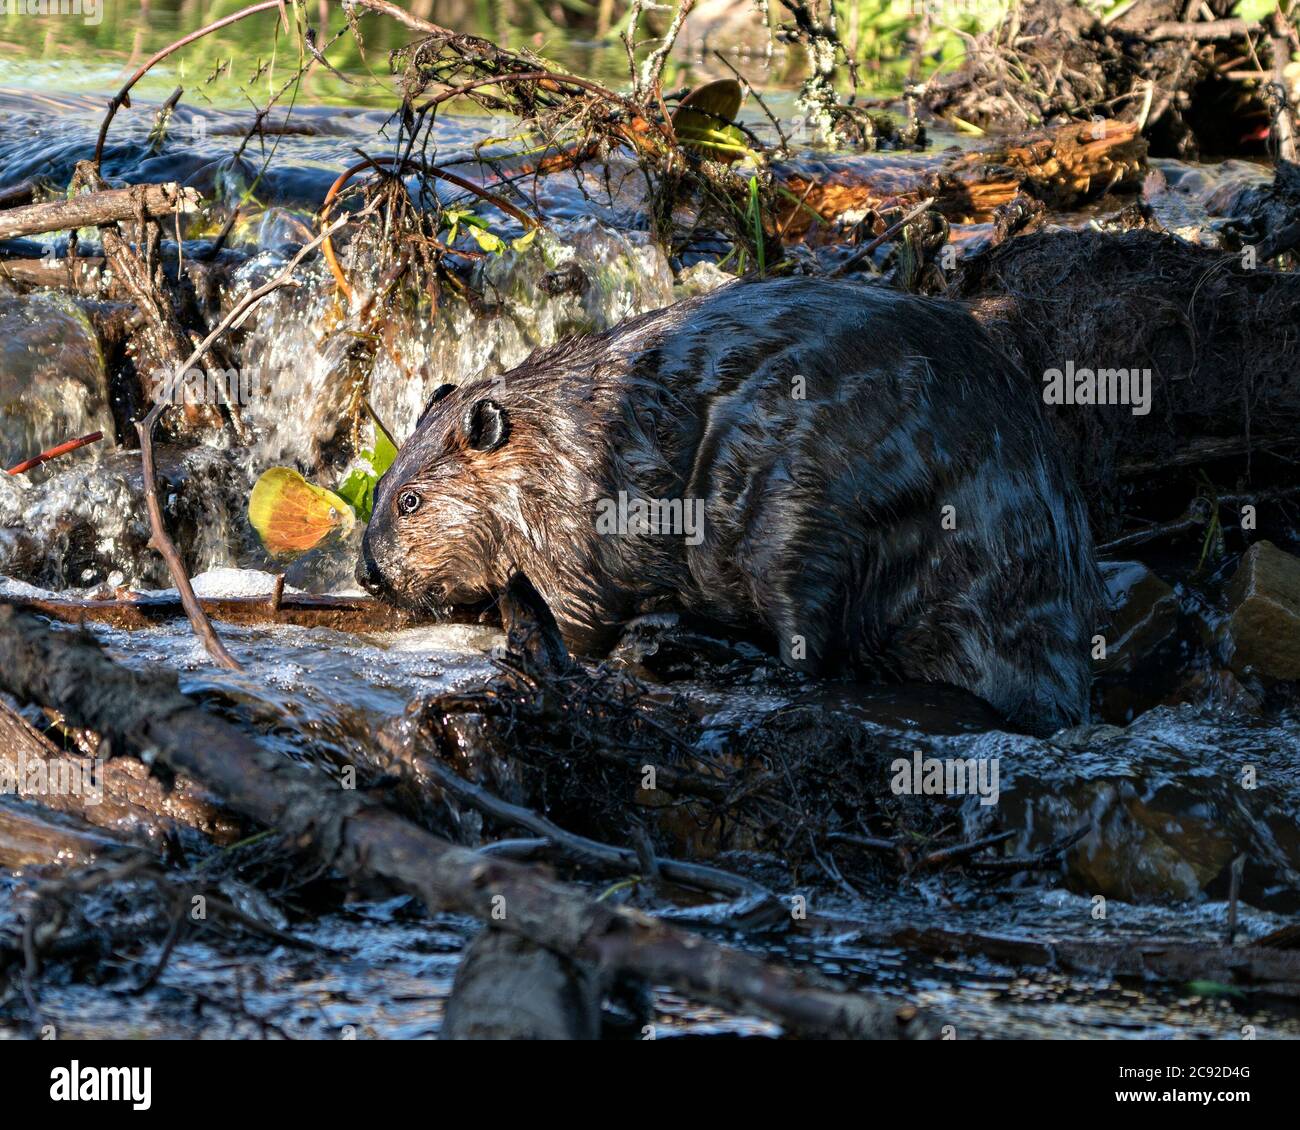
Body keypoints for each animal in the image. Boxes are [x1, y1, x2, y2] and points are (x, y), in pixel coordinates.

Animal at [361, 274, 1102, 733]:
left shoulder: (574, 522)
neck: (554, 431)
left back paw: (682, 645)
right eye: (382, 485)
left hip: (797, 512)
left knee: (809, 650)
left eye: (409, 501)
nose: (368, 573)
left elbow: (580, 618)